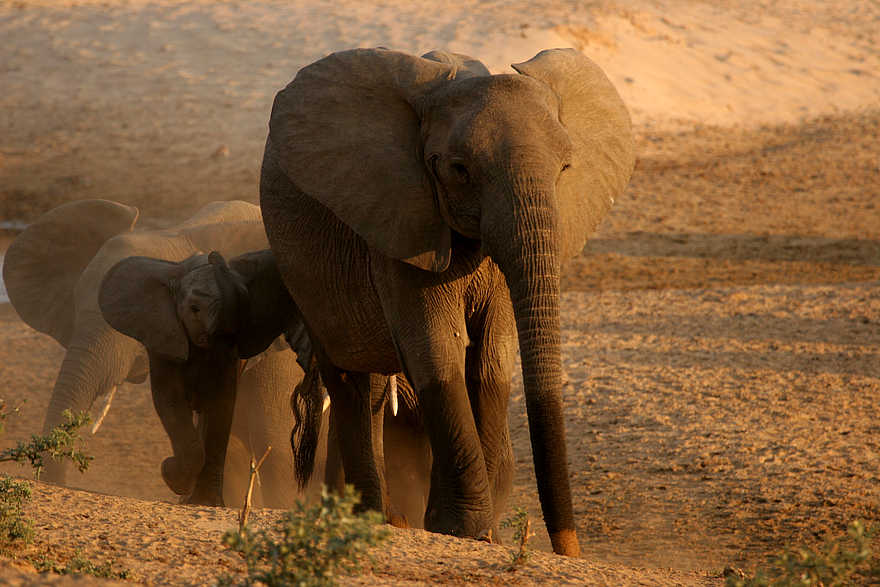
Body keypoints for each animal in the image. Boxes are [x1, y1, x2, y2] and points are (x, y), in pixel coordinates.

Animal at [98, 248, 319, 506]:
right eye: (194, 309)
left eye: (246, 312)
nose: (215, 255)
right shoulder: (163, 334)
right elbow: (170, 398)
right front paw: (172, 475)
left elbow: (222, 403)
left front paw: (202, 499)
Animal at [259, 47, 634, 556]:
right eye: (459, 170)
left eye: (564, 169)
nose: (568, 549)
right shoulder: (402, 219)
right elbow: (438, 352)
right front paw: (466, 531)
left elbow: (491, 361)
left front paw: (482, 533)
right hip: (303, 271)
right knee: (349, 377)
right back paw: (372, 520)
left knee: (371, 388)